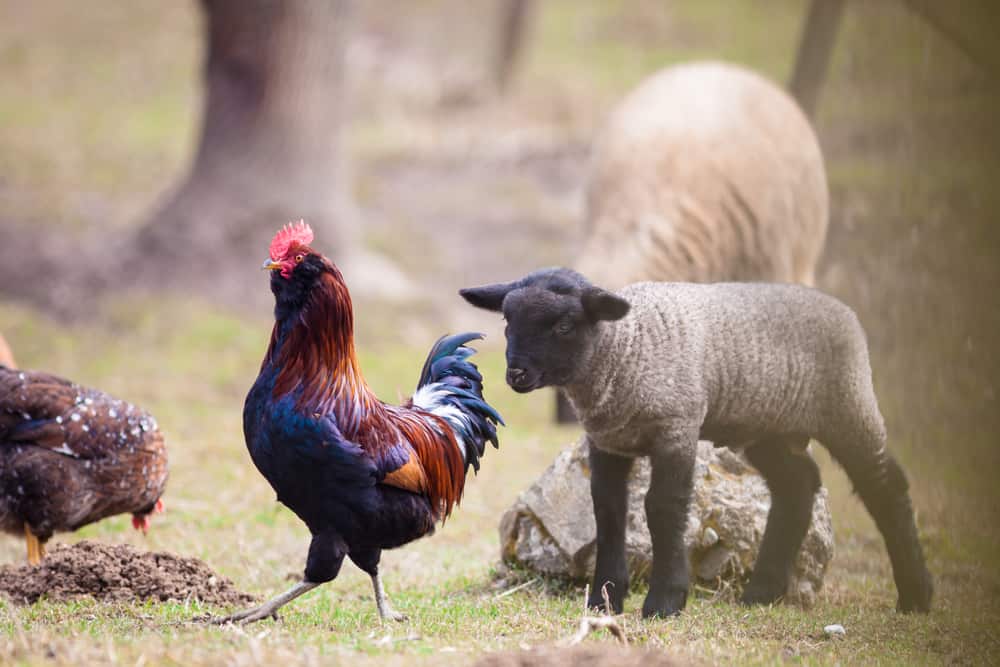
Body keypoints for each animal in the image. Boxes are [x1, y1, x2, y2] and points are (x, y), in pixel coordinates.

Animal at [460, 268, 933, 618]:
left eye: (563, 325)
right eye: (507, 322)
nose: (516, 375)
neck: (626, 348)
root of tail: (841, 308)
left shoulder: (677, 428)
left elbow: (663, 508)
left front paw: (665, 602)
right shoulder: (608, 441)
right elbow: (608, 510)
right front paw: (604, 600)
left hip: (848, 406)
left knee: (885, 486)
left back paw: (916, 596)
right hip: (767, 425)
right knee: (798, 484)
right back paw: (762, 592)